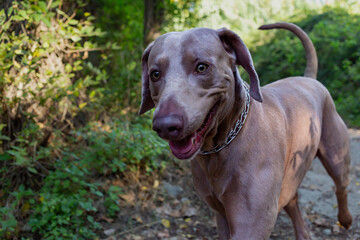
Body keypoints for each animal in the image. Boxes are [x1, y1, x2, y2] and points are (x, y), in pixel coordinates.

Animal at [139, 22, 352, 240]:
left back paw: (345, 219)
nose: (165, 125)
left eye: (202, 67)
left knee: (341, 186)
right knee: (293, 201)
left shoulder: (251, 224)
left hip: (336, 155)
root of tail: (309, 79)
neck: (221, 146)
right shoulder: (222, 215)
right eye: (155, 74)